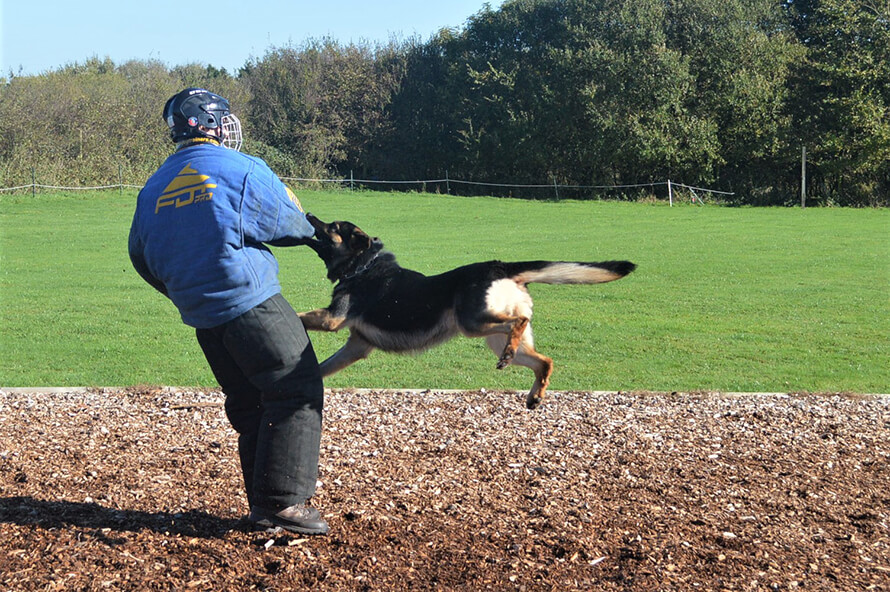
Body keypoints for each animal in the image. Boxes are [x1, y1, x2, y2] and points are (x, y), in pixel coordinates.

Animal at [296, 213, 632, 408]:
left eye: (333, 227)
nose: (309, 214)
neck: (363, 265)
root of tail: (500, 267)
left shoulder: (332, 319)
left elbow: (301, 317)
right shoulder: (357, 345)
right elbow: (322, 368)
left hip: (473, 323)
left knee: (519, 321)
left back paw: (512, 358)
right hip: (492, 335)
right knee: (543, 361)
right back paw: (534, 394)